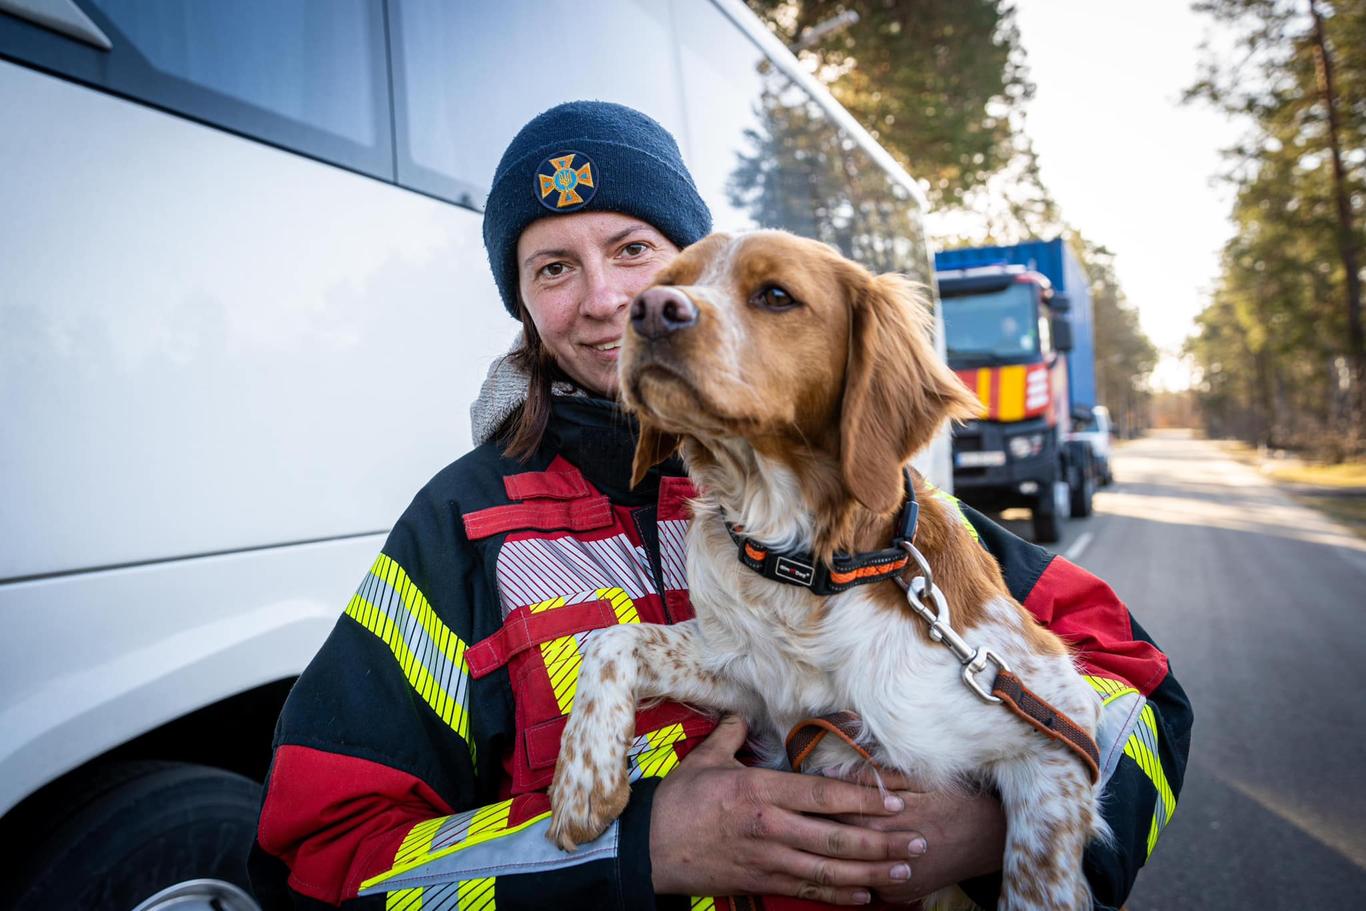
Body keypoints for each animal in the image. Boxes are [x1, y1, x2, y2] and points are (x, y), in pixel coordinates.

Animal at [549, 232, 1103, 906]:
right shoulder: (751, 683)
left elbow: (1036, 881)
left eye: (776, 295)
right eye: (666, 282)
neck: (809, 566)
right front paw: (582, 785)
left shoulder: (1058, 731)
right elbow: (611, 639)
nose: (648, 311)